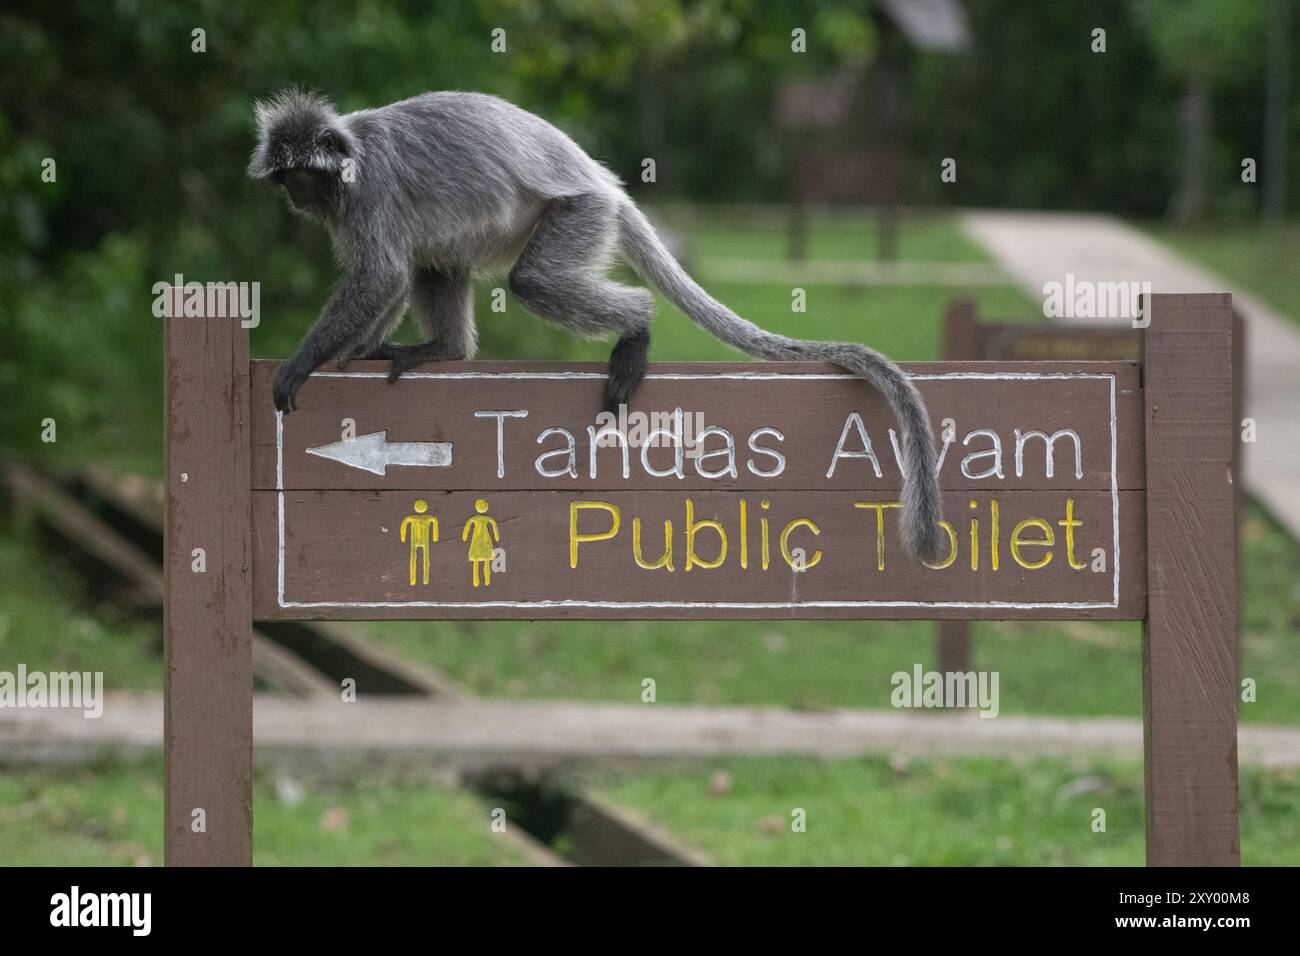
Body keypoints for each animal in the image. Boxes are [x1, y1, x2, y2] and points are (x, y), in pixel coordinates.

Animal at [245, 89, 946, 561]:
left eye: (302, 176)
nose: (295, 196)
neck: (353, 156)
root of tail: (602, 180)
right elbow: (392, 276)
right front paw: (354, 352)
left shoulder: (372, 196)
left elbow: (382, 274)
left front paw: (302, 363)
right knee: (438, 257)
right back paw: (444, 350)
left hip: (579, 213)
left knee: (529, 280)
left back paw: (635, 331)